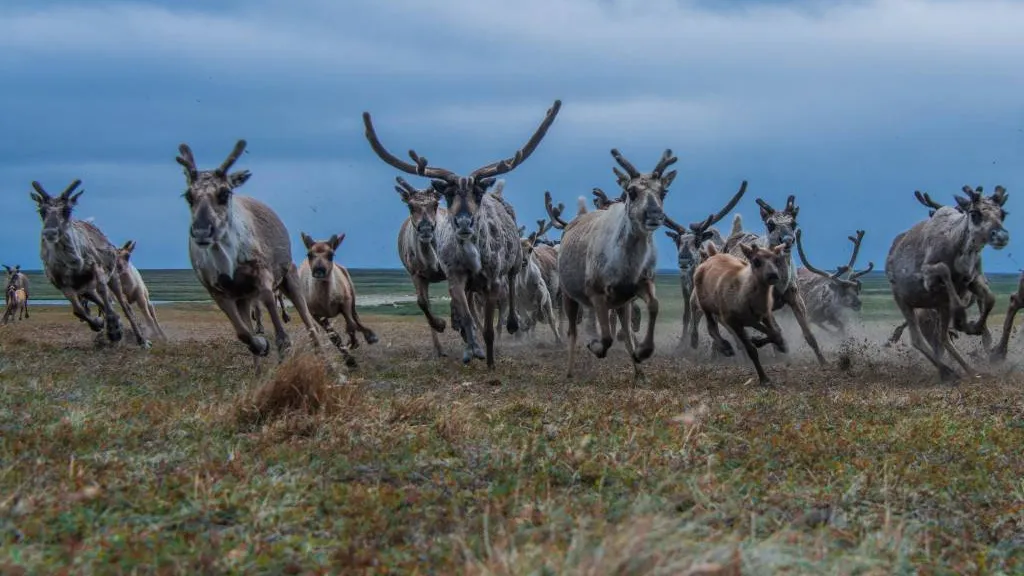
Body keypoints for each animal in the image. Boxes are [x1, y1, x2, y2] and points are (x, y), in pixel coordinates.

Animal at [692, 239, 786, 383]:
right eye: (756, 260)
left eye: (777, 260)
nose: (773, 275)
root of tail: (712, 255)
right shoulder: (733, 320)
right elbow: (751, 350)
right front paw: (764, 379)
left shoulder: (765, 314)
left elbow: (776, 334)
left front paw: (761, 341)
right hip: (705, 305)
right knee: (711, 327)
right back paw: (726, 348)